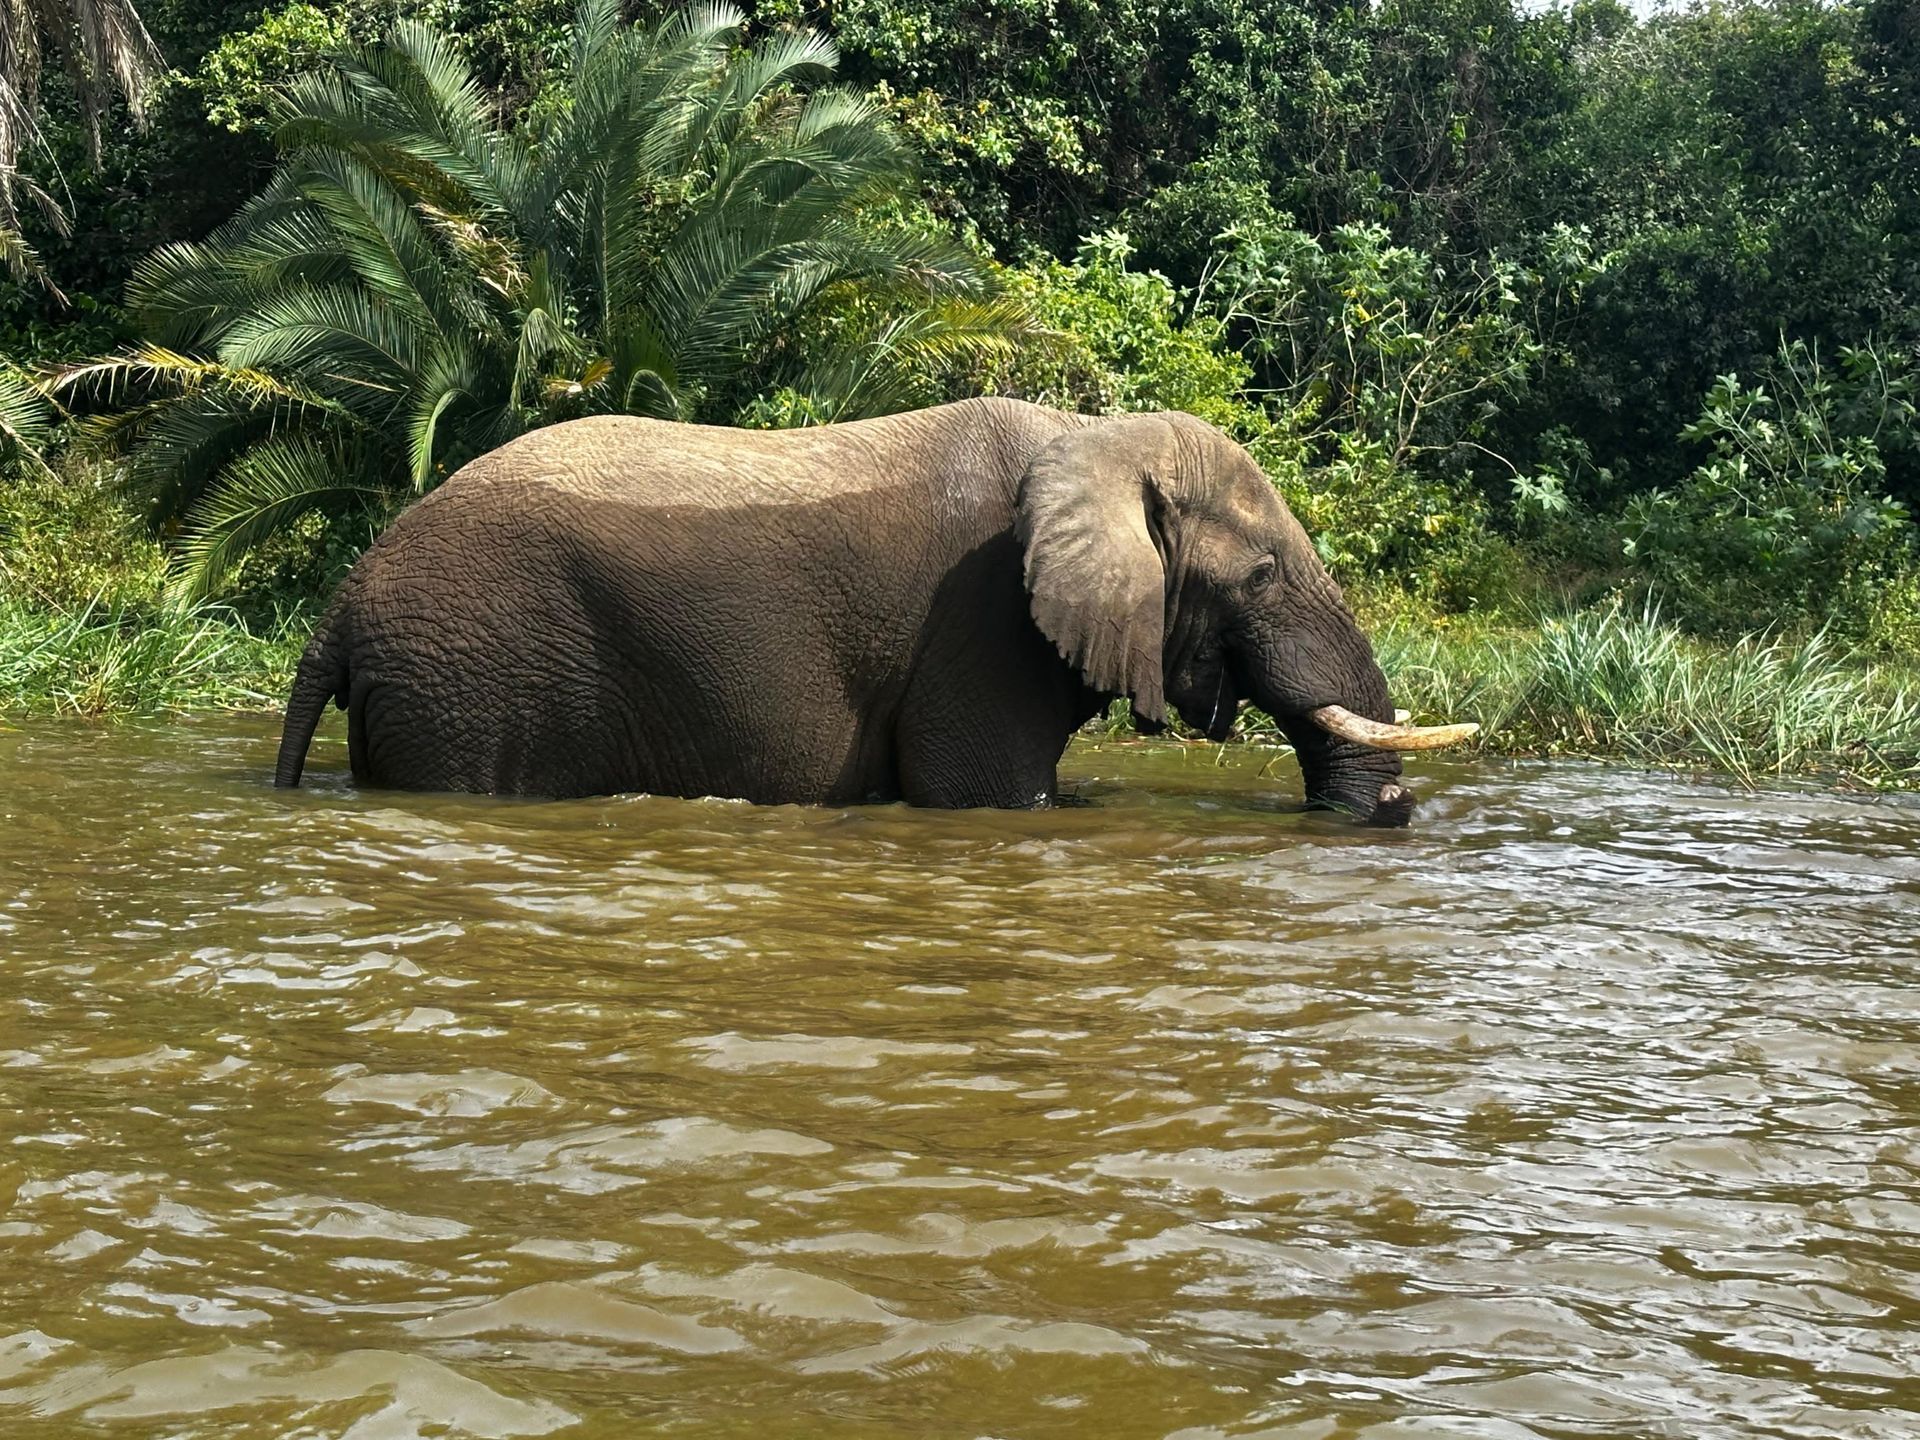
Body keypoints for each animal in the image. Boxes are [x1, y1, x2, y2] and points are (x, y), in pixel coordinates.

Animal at [274, 397, 1474, 824]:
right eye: (1264, 574)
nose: (1391, 811)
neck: (1095, 432)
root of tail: (344, 602)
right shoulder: (979, 627)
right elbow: (982, 793)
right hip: (471, 679)